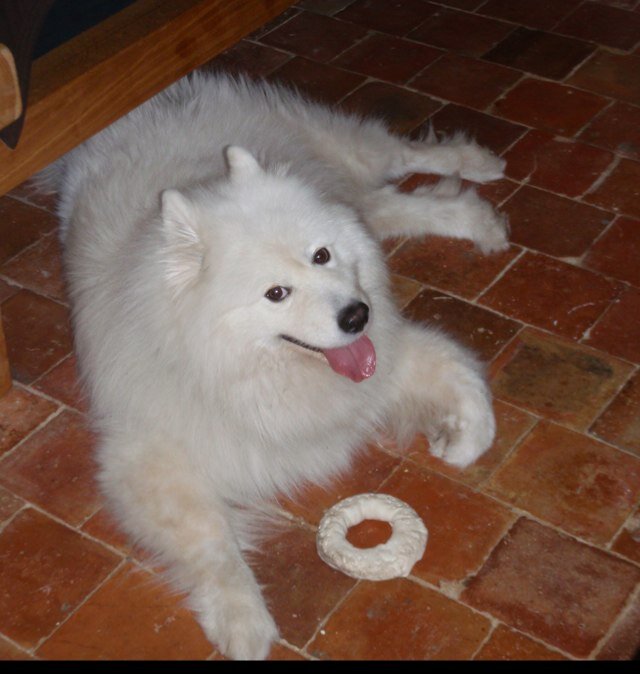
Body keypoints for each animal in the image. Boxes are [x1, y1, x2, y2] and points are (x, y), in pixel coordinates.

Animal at [42, 72, 508, 656]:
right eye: (276, 293)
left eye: (322, 256)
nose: (358, 315)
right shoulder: (147, 457)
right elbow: (212, 542)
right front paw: (243, 621)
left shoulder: (391, 355)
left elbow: (468, 386)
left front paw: (459, 442)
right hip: (351, 190)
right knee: (398, 203)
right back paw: (478, 217)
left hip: (342, 154)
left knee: (405, 155)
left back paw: (477, 166)